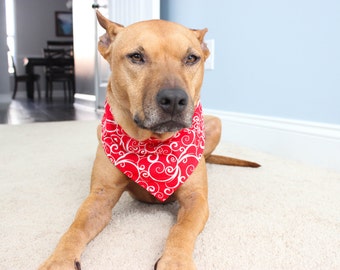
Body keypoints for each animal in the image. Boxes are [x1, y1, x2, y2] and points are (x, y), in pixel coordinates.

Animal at [38, 11, 258, 270]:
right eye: (136, 56)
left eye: (191, 58)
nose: (174, 100)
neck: (152, 144)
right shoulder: (100, 197)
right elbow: (75, 229)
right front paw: (59, 260)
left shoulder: (196, 200)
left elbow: (181, 230)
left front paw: (176, 260)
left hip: (215, 123)